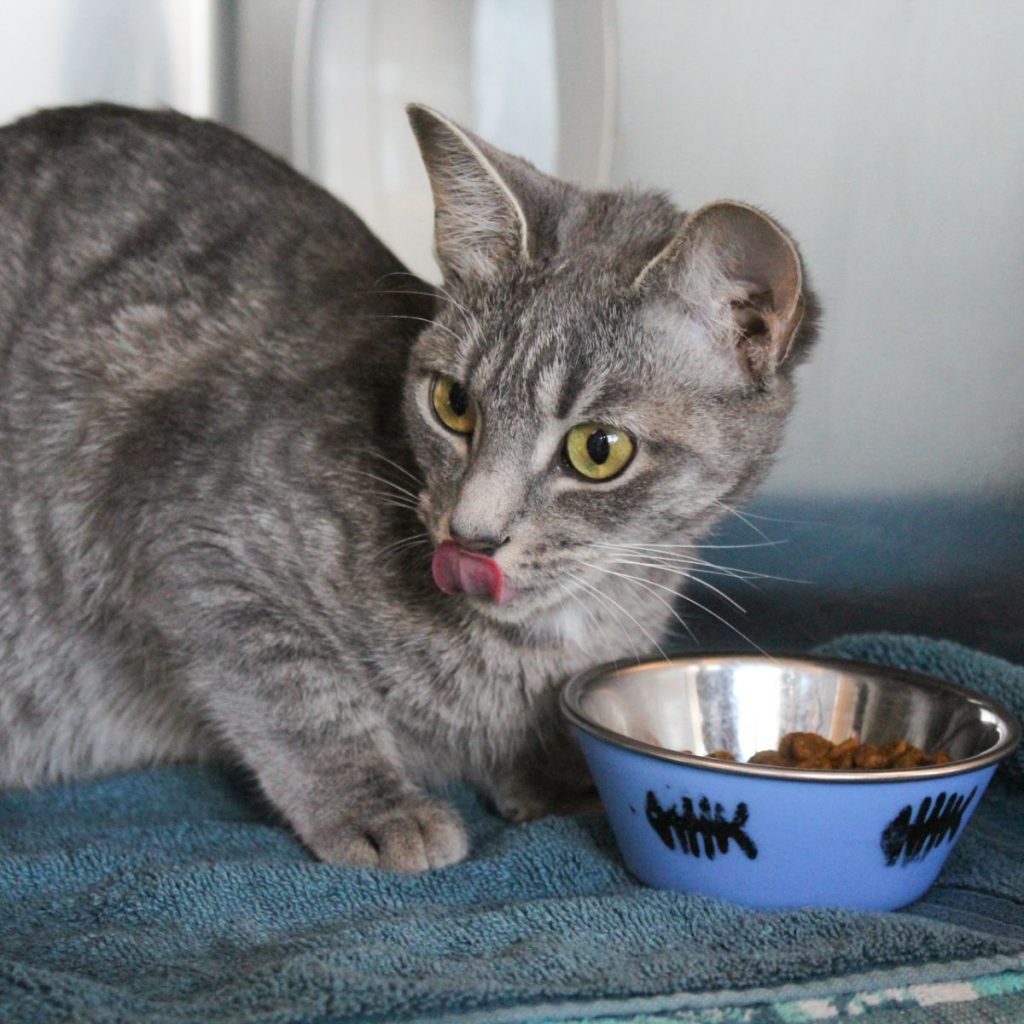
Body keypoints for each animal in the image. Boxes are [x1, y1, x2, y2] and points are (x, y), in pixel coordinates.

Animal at [0, 103, 815, 872]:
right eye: (453, 403)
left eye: (599, 450)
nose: (472, 532)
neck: (548, 638)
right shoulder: (188, 531)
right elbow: (292, 687)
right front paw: (372, 803)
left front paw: (554, 773)